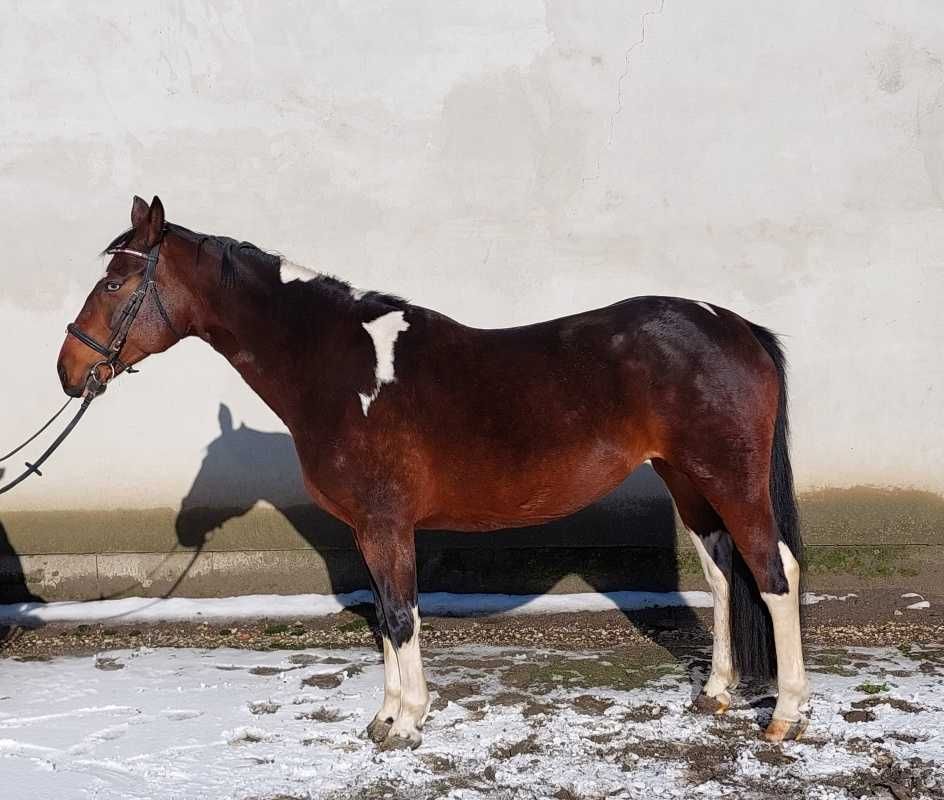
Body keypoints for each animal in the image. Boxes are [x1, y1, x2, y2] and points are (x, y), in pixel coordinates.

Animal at [59, 195, 812, 752]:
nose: (69, 370)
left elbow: (399, 614)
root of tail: (736, 326)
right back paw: (714, 695)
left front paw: (406, 724)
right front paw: (387, 717)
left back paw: (783, 717)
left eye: (116, 281)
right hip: (688, 480)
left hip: (730, 480)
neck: (340, 369)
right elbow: (386, 613)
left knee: (775, 573)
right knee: (723, 573)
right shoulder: (370, 529)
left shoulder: (385, 523)